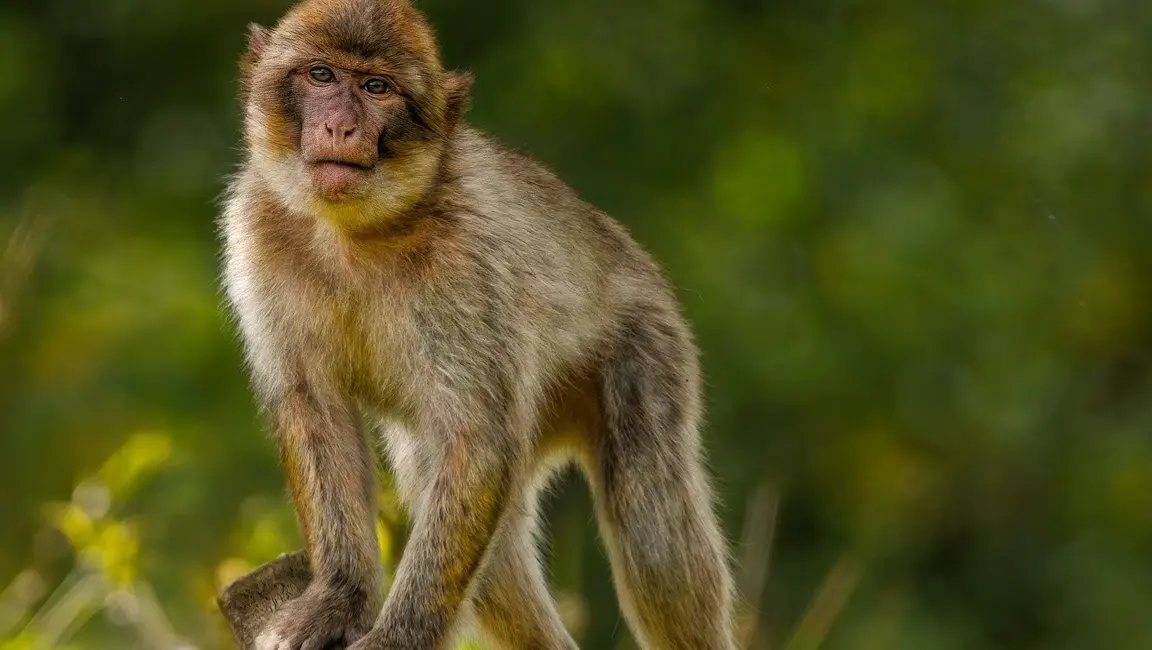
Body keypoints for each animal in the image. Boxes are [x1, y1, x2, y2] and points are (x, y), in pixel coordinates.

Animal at [219, 1, 738, 649]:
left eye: (377, 88)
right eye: (321, 75)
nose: (340, 127)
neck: (352, 233)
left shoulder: (465, 259)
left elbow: (478, 441)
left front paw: (397, 639)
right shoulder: (254, 231)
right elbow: (314, 409)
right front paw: (336, 598)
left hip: (646, 342)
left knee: (653, 524)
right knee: (493, 561)